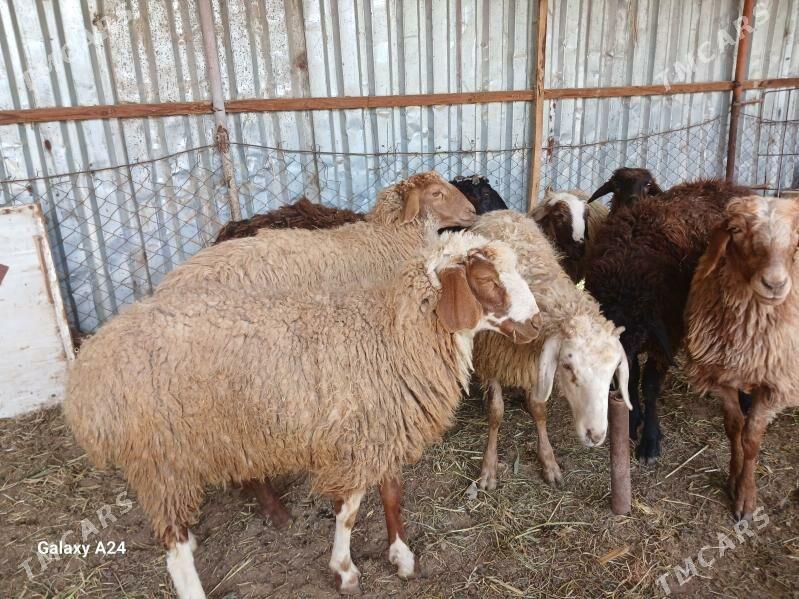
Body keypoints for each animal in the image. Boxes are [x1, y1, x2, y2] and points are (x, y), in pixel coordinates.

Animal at [63, 231, 542, 597]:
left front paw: (402, 557)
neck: (389, 338)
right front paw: (344, 570)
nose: (537, 323)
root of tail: (89, 371)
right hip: (160, 457)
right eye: (485, 278)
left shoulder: (383, 428)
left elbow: (392, 495)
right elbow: (348, 512)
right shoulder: (355, 441)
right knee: (173, 544)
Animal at [469, 210, 630, 488]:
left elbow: (539, 409)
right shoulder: (490, 360)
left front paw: (548, 460)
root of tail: (503, 212)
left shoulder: (533, 363)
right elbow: (496, 412)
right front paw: (489, 467)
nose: (595, 435)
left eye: (613, 372)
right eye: (567, 366)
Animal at [584, 179, 752, 463]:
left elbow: (650, 384)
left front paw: (650, 440)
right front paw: (632, 420)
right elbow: (633, 377)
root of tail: (730, 184)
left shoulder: (665, 335)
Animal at [684, 195, 799, 521]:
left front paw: (746, 497)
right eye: (735, 230)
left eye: (796, 236)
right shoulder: (719, 375)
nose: (774, 284)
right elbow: (734, 427)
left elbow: (751, 439)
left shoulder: (775, 385)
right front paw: (733, 478)